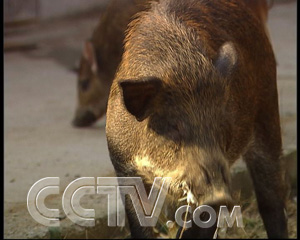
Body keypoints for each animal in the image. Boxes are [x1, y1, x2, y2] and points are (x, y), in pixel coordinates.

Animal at [106, 0, 290, 238]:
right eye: (173, 127)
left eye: (222, 125)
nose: (219, 195)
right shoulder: (122, 164)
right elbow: (139, 221)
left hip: (267, 113)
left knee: (272, 200)